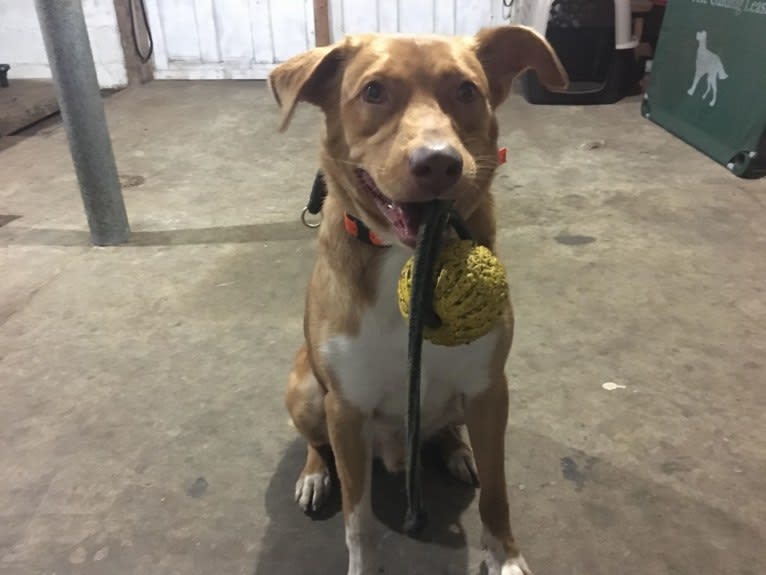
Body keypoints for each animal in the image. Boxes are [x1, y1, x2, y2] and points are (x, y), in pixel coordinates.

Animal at [268, 24, 564, 572]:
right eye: (373, 91)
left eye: (467, 90)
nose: (439, 163)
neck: (407, 257)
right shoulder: (346, 408)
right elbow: (357, 518)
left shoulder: (489, 390)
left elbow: (497, 493)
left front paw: (505, 555)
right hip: (306, 389)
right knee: (316, 442)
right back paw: (315, 473)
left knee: (449, 431)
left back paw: (457, 451)